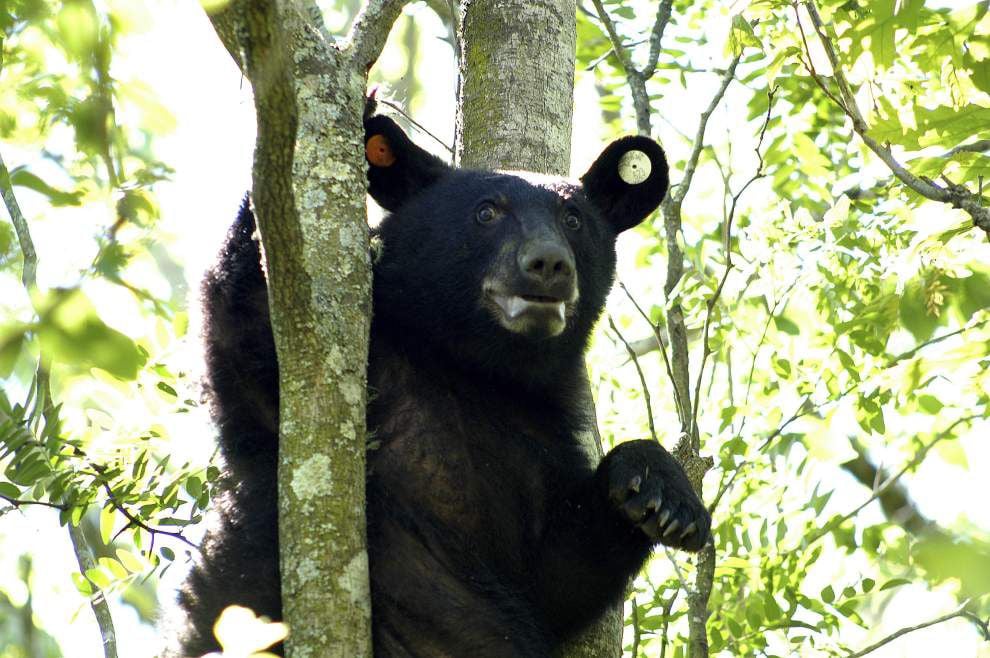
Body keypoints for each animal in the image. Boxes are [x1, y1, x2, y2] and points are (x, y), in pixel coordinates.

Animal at [171, 103, 712, 657]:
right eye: (486, 212)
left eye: (574, 219)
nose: (549, 264)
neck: (470, 368)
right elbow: (249, 337)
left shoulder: (538, 436)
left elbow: (559, 575)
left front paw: (659, 492)